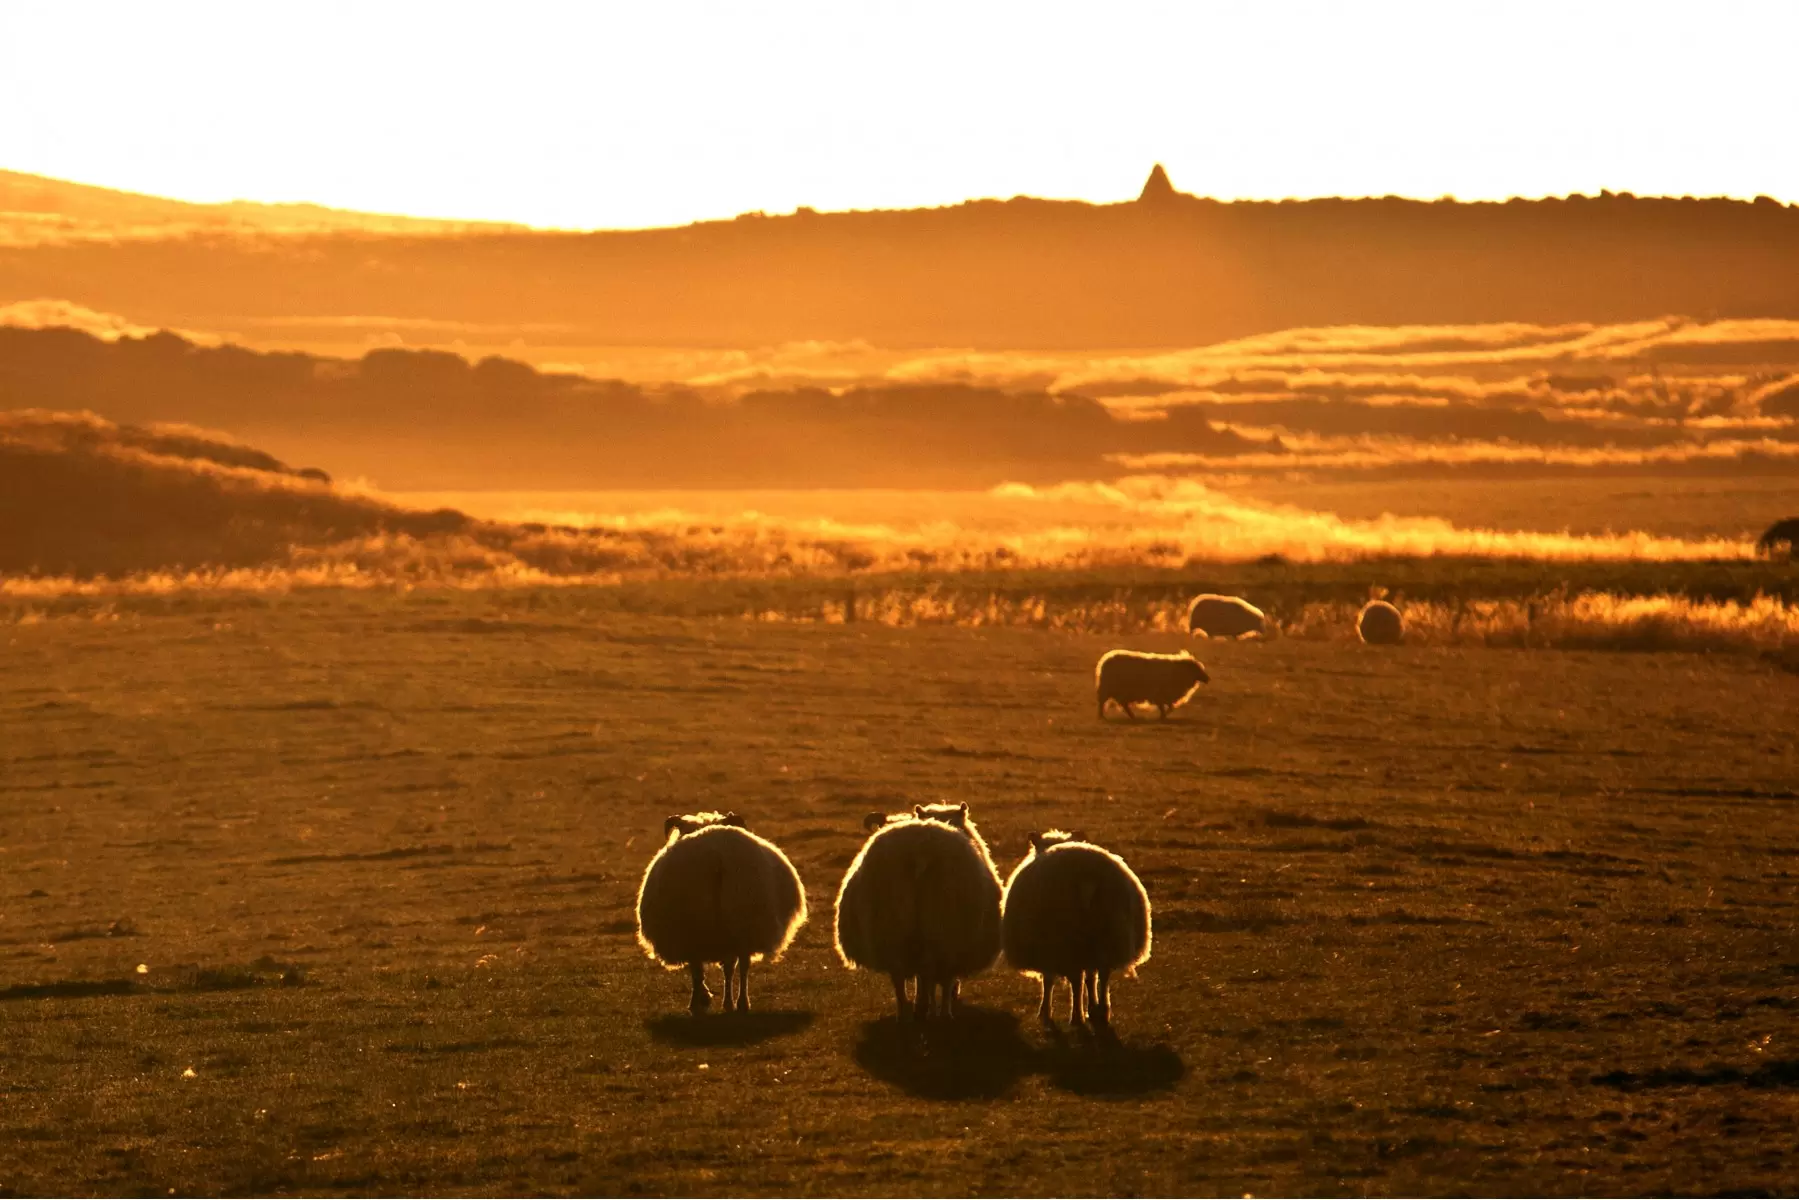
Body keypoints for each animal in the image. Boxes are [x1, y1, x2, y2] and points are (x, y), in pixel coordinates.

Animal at [633, 813, 802, 1021]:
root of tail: (716, 855)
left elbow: (701, 970)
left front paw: (704, 999)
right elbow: (721, 968)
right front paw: (716, 1001)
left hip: (703, 924)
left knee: (712, 967)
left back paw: (710, 1003)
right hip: (742, 921)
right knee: (739, 965)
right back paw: (738, 1003)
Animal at [831, 802, 1007, 1021]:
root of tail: (920, 852)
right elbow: (936, 979)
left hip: (891, 926)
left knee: (899, 975)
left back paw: (906, 1012)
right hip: (945, 928)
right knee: (937, 974)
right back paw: (941, 1012)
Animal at [1000, 831, 1151, 1029]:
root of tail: (1086, 877)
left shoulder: (1046, 950)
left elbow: (1049, 980)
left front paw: (1045, 1013)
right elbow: (1091, 977)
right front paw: (1092, 1007)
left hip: (1068, 939)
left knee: (1076, 980)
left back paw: (1077, 1016)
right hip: (1107, 935)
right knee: (1103, 974)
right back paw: (1102, 1011)